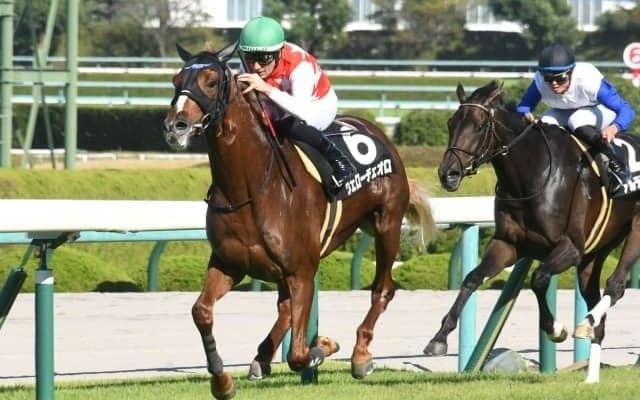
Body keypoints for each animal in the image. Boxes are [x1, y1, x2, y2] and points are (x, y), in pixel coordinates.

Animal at [162, 41, 437, 399]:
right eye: (175, 80)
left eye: (210, 81)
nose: (175, 126)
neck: (251, 187)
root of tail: (377, 131)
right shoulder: (228, 263)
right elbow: (202, 311)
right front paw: (222, 381)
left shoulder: (302, 270)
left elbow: (298, 354)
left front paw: (324, 345)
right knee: (284, 307)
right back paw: (262, 357)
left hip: (387, 224)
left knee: (382, 289)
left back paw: (361, 354)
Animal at [427, 80, 640, 383]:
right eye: (450, 123)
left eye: (479, 126)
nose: (448, 174)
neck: (532, 177)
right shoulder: (507, 244)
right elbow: (471, 279)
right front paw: (439, 338)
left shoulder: (570, 248)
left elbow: (538, 279)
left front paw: (556, 329)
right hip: (595, 253)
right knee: (596, 301)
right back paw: (591, 375)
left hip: (634, 232)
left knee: (616, 285)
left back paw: (585, 322)